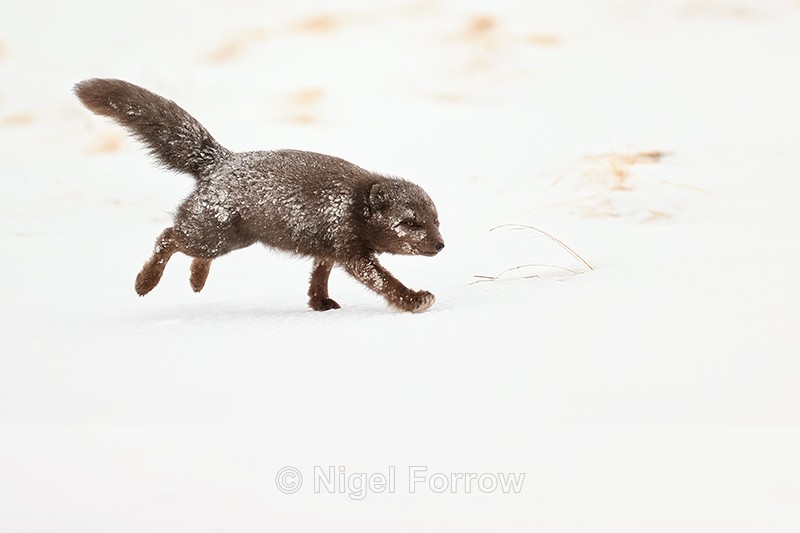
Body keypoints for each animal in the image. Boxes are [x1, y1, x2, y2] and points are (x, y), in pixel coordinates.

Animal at [74, 79, 444, 312]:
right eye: (410, 223)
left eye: (436, 221)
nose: (441, 245)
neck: (354, 203)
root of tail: (221, 159)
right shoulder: (352, 253)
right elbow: (383, 281)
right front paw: (413, 301)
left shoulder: (328, 248)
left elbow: (318, 277)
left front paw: (320, 305)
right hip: (212, 237)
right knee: (167, 236)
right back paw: (145, 282)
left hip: (232, 240)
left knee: (187, 249)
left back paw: (196, 281)